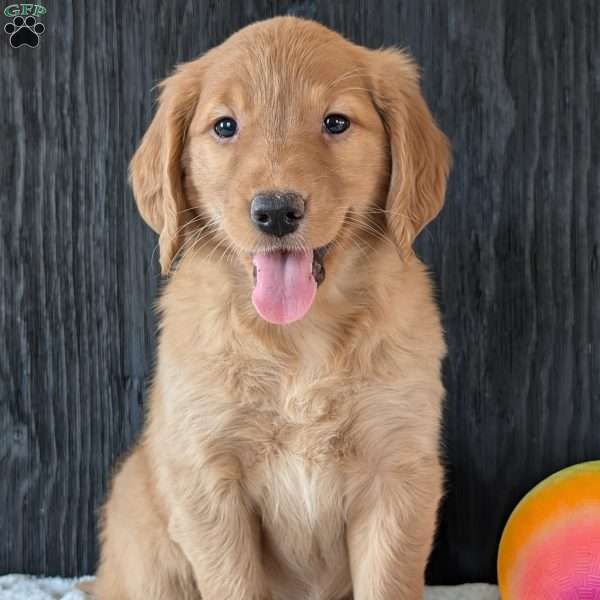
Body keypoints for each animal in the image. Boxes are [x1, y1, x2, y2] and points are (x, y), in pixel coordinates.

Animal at [91, 14, 448, 600]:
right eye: (225, 126)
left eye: (335, 122)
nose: (277, 211)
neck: (300, 339)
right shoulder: (209, 483)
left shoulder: (398, 476)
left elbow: (387, 582)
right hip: (145, 537)